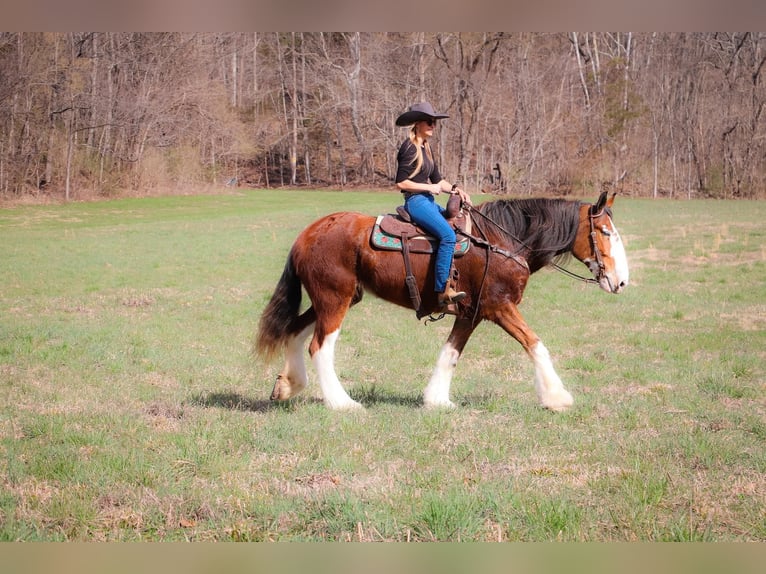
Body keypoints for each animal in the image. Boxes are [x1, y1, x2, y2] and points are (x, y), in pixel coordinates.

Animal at [256, 191, 632, 412]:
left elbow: (450, 353)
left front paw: (436, 399)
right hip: (336, 300)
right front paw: (557, 397)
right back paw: (342, 403)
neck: (501, 240)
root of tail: (307, 234)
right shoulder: (499, 306)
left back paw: (288, 386)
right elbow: (536, 345)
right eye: (605, 232)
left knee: (295, 331)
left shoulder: (472, 312)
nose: (621, 281)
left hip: (334, 299)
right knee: (320, 346)